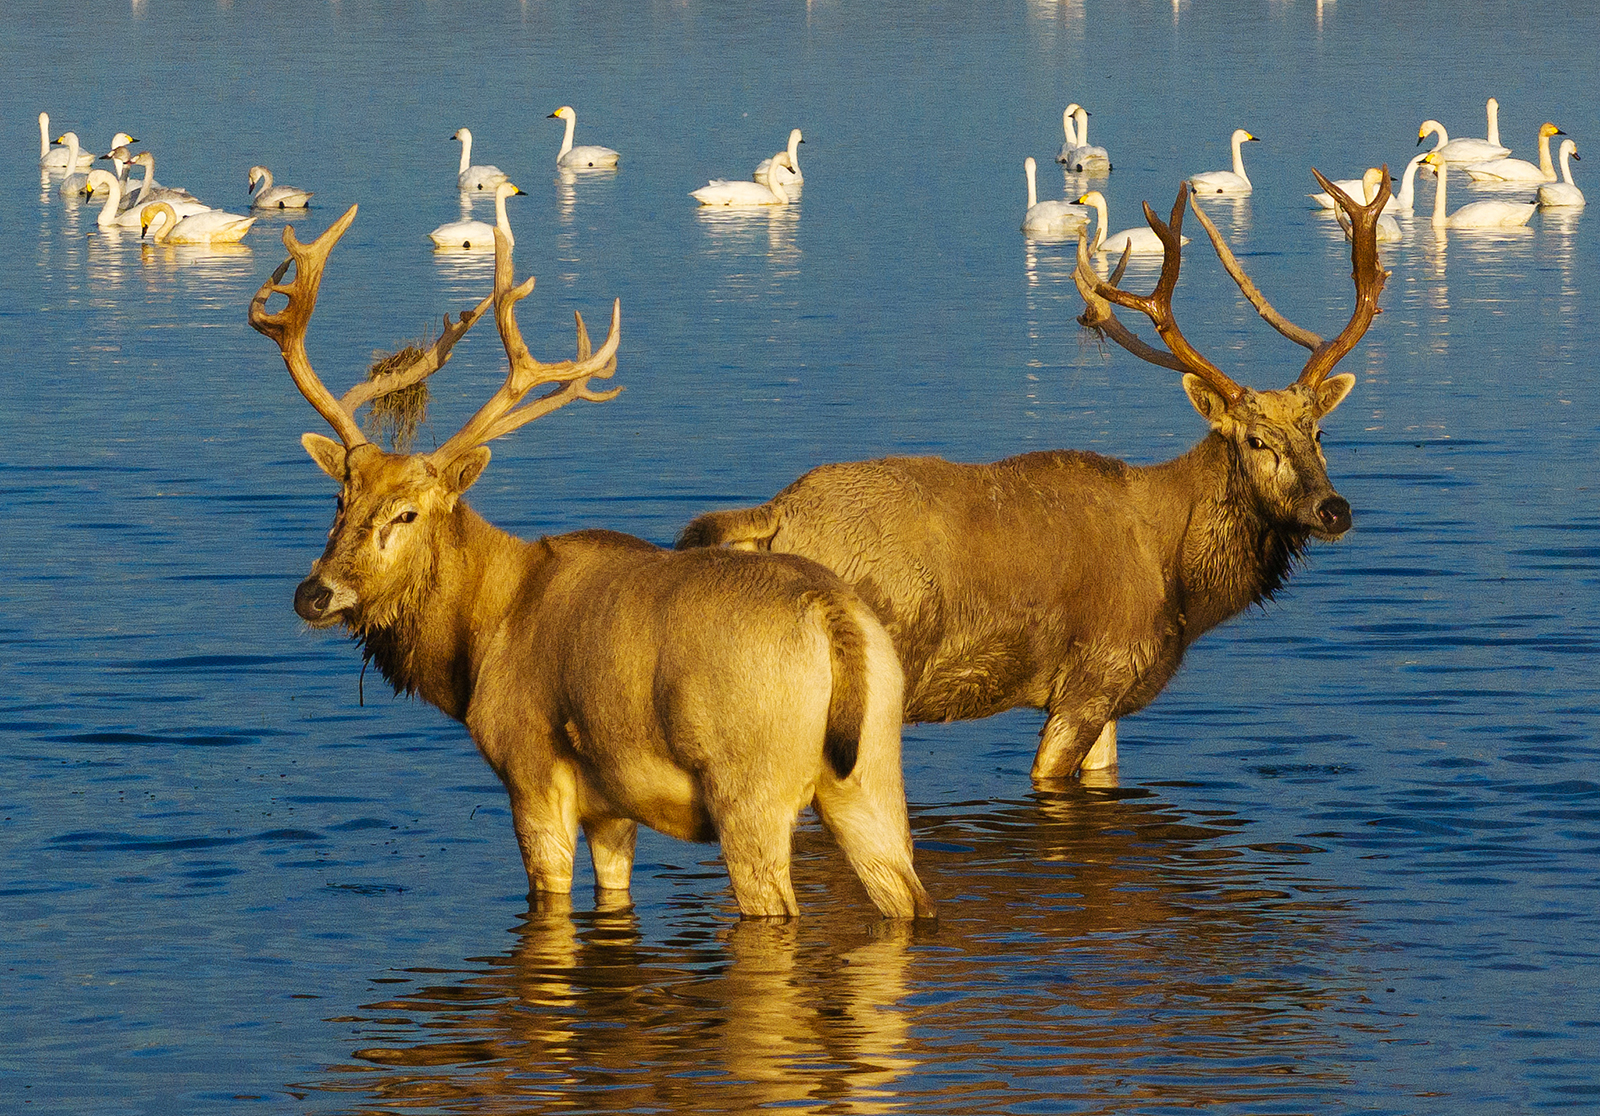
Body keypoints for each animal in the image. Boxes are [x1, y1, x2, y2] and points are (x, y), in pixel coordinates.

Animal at [253, 205, 934, 921]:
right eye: (339, 498)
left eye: (407, 514)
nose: (314, 593)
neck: (480, 636)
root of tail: (835, 618)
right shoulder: (613, 806)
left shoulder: (532, 768)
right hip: (872, 768)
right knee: (908, 894)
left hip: (752, 785)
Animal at [678, 169, 1390, 784]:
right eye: (1253, 439)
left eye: (1319, 434)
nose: (1334, 509)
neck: (1182, 581)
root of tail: (774, 513)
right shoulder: (1095, 672)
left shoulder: (1109, 696)